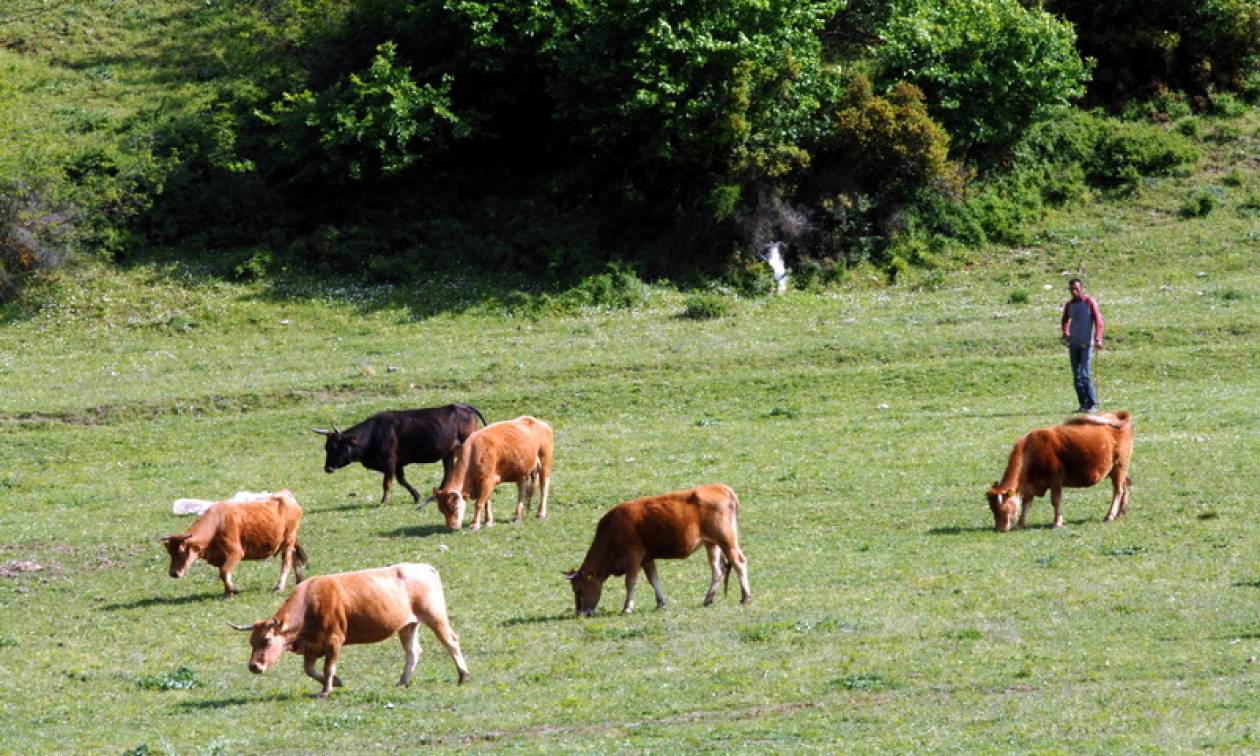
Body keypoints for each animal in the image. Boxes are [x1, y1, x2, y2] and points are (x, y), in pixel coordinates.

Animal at [161, 491, 306, 597]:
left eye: (181, 551)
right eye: (170, 553)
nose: (173, 573)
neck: (216, 523)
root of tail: (286, 495)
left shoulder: (235, 552)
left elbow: (224, 571)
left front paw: (233, 589)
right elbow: (223, 573)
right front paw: (227, 592)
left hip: (288, 540)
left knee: (286, 563)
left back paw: (279, 587)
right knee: (295, 559)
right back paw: (299, 581)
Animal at [229, 564, 471, 700]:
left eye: (267, 640)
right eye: (251, 642)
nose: (253, 666)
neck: (310, 603)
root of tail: (425, 567)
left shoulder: (334, 640)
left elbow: (328, 667)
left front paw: (327, 690)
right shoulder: (312, 647)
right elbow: (310, 670)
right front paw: (337, 682)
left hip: (435, 616)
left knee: (451, 641)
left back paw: (463, 675)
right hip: (407, 626)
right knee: (413, 652)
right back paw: (402, 682)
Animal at [315, 405, 486, 504]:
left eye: (336, 447)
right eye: (326, 447)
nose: (328, 468)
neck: (375, 433)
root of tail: (463, 406)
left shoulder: (390, 461)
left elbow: (387, 483)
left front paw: (383, 501)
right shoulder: (398, 464)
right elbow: (402, 481)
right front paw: (416, 496)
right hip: (448, 452)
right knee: (448, 472)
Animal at [561, 481, 745, 617]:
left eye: (578, 589)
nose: (579, 614)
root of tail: (721, 487)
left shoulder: (633, 557)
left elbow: (630, 582)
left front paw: (627, 607)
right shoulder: (647, 559)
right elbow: (654, 579)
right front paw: (660, 603)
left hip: (726, 540)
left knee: (739, 563)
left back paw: (745, 597)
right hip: (711, 544)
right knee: (718, 570)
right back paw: (708, 599)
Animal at [987, 413, 1139, 531]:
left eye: (1002, 508)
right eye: (992, 508)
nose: (999, 529)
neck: (1030, 449)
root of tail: (1119, 415)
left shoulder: (1055, 479)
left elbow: (1055, 501)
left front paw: (1057, 523)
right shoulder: (1030, 486)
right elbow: (1026, 503)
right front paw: (1020, 524)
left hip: (1120, 466)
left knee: (1118, 491)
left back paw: (1110, 516)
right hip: (1118, 469)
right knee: (1127, 484)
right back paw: (1121, 512)